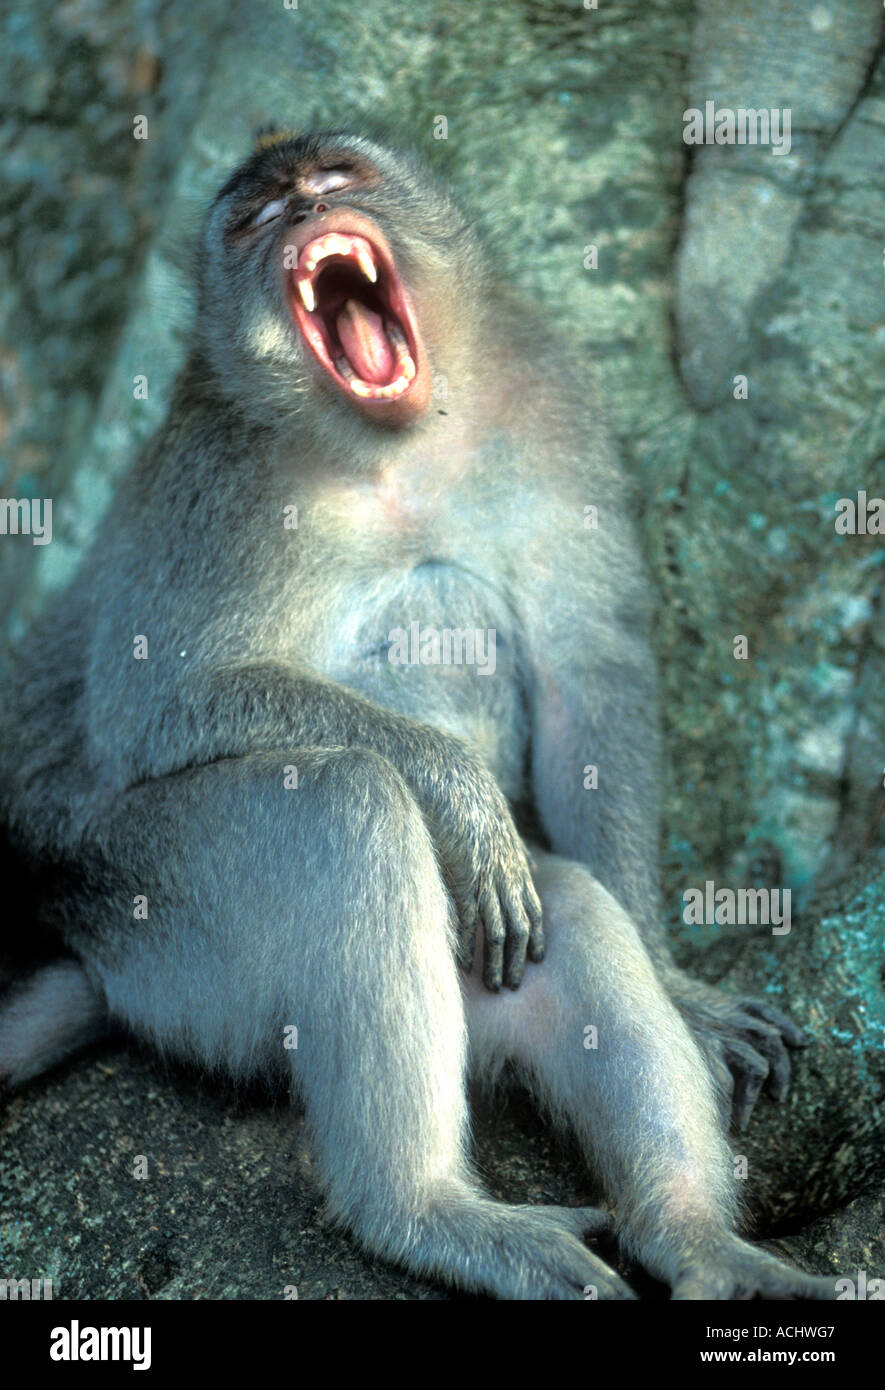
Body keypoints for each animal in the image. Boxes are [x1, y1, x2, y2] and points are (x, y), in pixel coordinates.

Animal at [0, 130, 833, 1301]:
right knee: (341, 806)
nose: (304, 205)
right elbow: (155, 707)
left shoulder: (548, 395)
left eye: (335, 177)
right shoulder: (219, 479)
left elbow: (587, 673)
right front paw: (454, 783)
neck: (391, 444)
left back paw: (699, 1246)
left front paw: (684, 986)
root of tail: (97, 967)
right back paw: (424, 1213)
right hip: (164, 936)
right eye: (255, 218)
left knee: (564, 913)